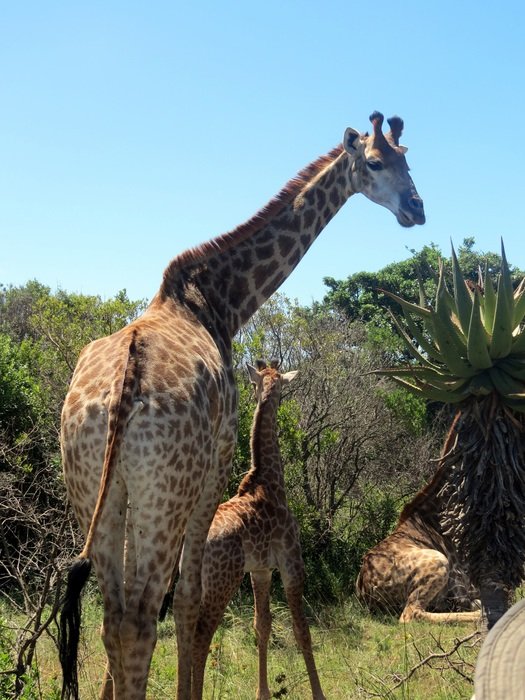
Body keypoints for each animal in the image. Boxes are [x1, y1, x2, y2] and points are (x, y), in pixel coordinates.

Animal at [190, 360, 324, 700]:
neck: (269, 481)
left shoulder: (261, 570)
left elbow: (262, 626)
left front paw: (262, 690)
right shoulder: (291, 563)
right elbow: (302, 630)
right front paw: (319, 693)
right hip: (221, 581)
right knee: (200, 636)